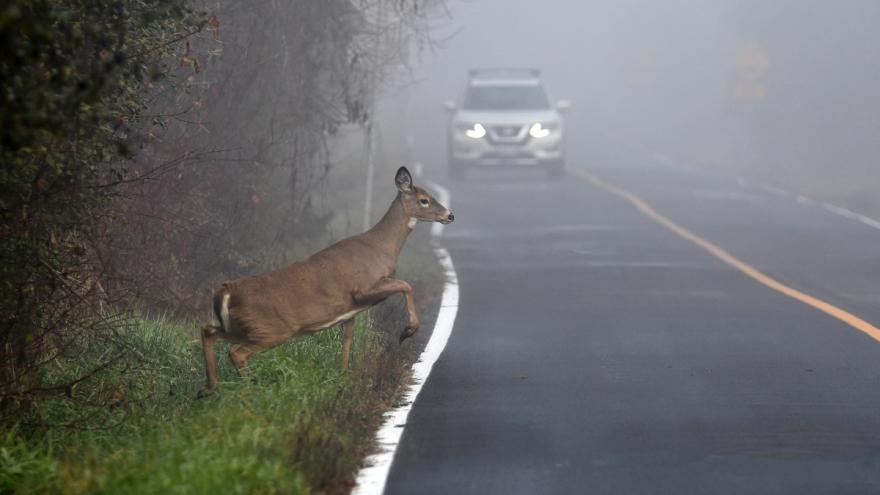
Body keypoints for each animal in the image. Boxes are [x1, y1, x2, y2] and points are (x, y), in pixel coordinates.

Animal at [197, 166, 453, 396]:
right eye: (424, 200)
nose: (450, 215)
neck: (382, 248)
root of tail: (226, 291)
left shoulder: (351, 311)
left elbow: (347, 340)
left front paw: (344, 376)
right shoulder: (362, 289)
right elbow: (405, 284)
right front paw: (408, 331)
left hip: (241, 327)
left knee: (209, 331)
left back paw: (210, 388)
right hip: (271, 328)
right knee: (236, 352)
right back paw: (249, 389)